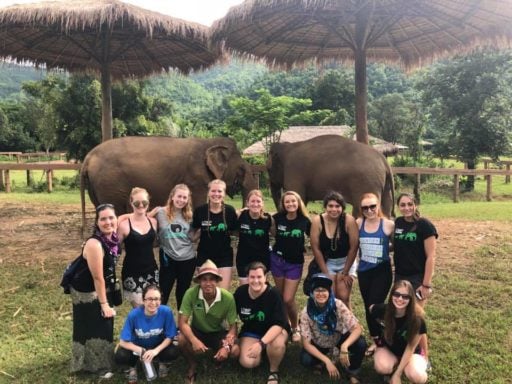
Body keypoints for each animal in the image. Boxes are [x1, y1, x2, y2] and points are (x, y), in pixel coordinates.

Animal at [80, 136, 258, 224]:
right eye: (241, 170)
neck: (209, 142)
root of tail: (88, 157)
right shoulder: (196, 177)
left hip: (96, 186)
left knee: (101, 207)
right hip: (110, 183)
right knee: (115, 209)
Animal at [266, 136, 394, 216]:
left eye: (268, 170)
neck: (287, 146)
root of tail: (384, 160)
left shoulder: (294, 171)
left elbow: (298, 196)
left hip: (367, 182)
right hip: (383, 184)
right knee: (386, 206)